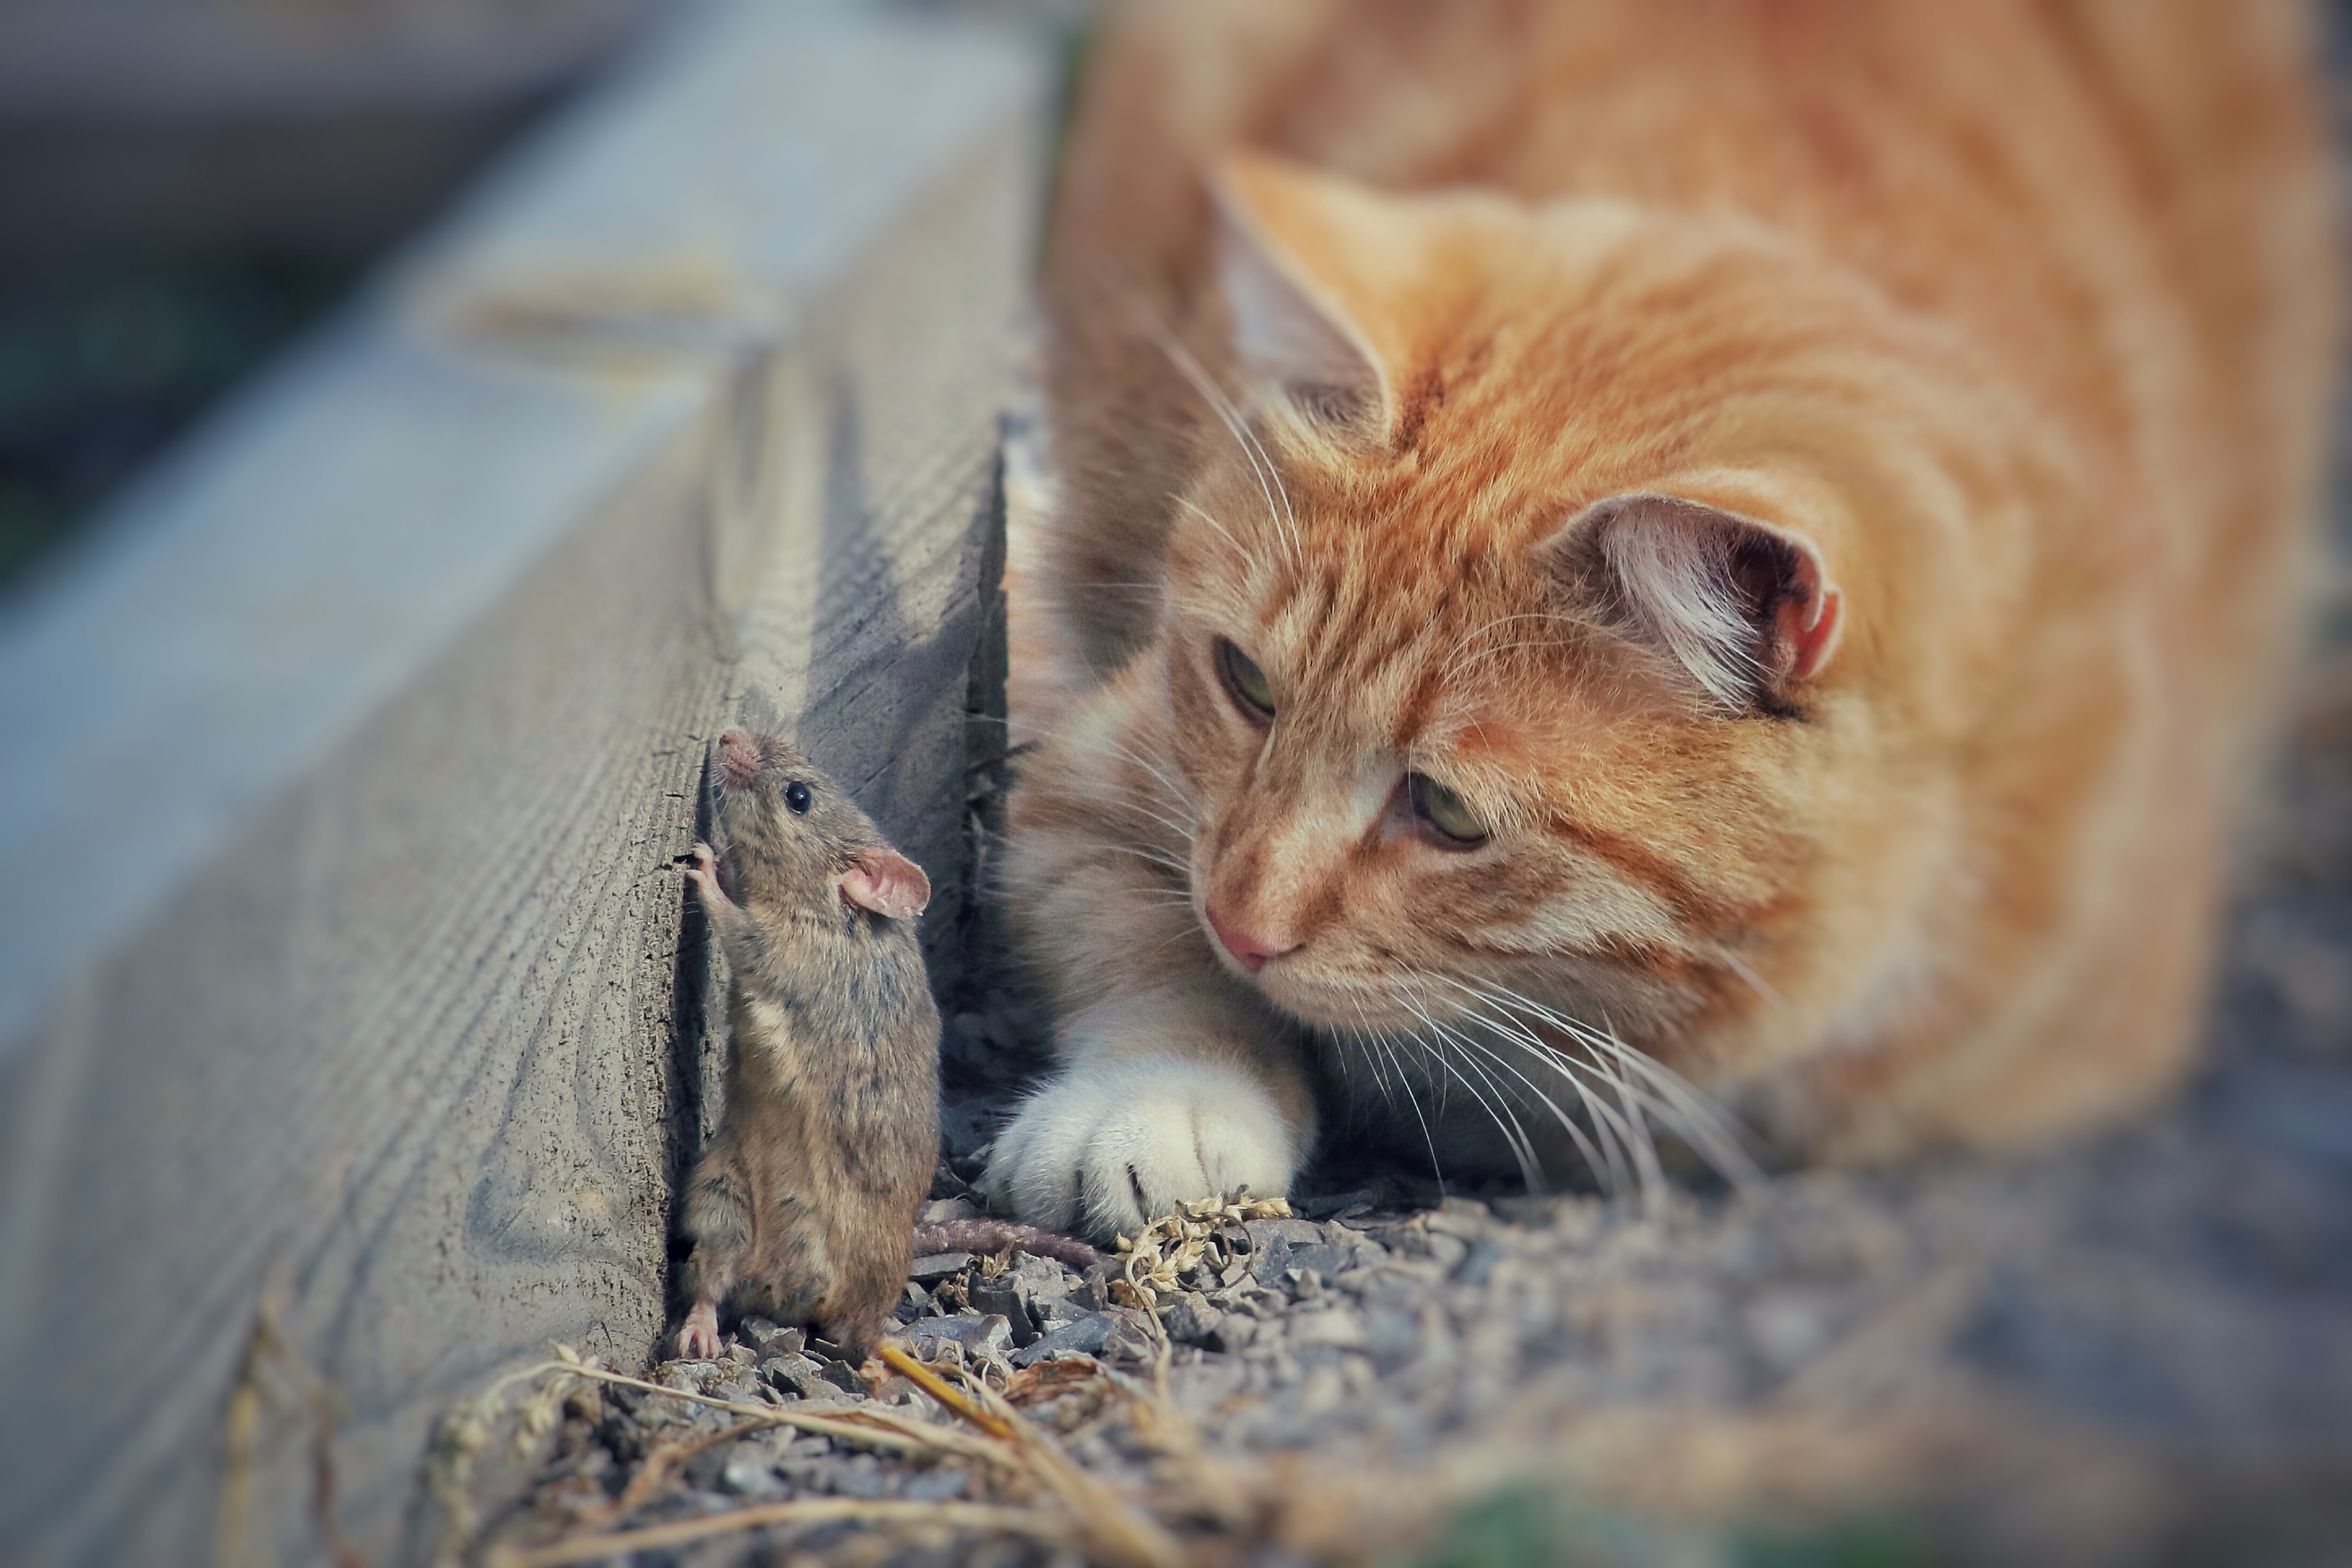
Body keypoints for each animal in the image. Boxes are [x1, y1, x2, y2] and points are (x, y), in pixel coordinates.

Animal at [978, 0, 2333, 1241]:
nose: (1240, 920)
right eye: (1245, 684)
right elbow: (1133, 930)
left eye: (1447, 812)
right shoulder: (1095, 772)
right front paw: (1160, 1093)